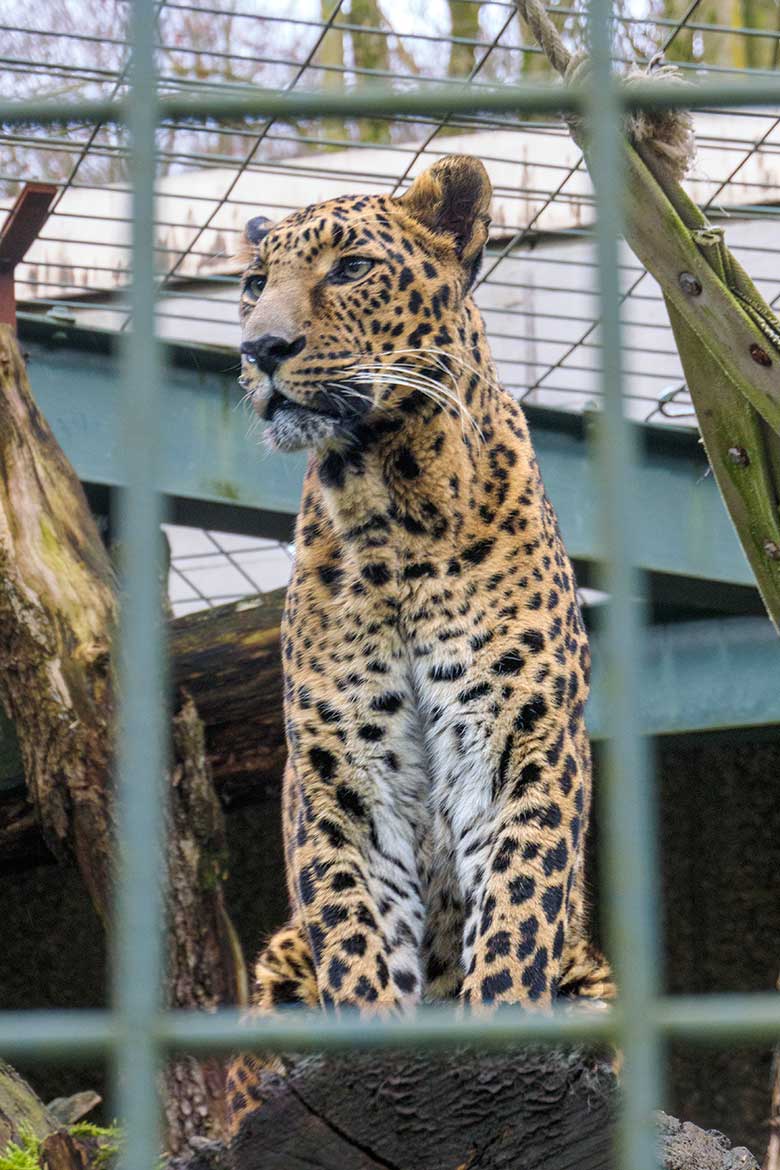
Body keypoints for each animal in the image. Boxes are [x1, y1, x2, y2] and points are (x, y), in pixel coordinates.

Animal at [225, 153, 617, 1132]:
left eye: (352, 268)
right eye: (252, 286)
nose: (260, 349)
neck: (389, 505)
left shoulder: (522, 743)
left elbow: (516, 909)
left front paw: (497, 1051)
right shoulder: (340, 775)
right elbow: (356, 932)